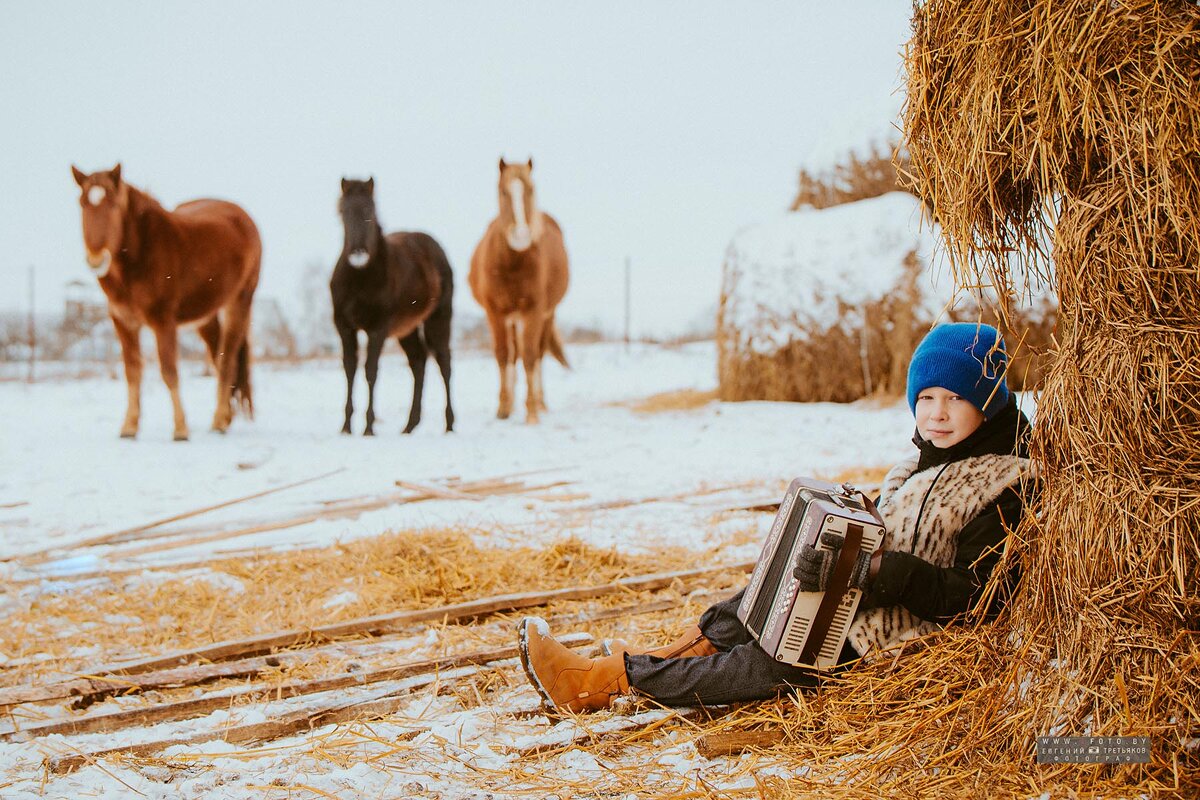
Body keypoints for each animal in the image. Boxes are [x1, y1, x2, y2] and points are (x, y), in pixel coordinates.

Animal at [71, 161, 261, 438]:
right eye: (83, 203)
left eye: (114, 205)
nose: (96, 259)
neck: (140, 255)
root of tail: (243, 217)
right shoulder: (123, 322)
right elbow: (132, 372)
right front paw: (129, 427)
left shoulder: (163, 322)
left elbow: (169, 371)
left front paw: (180, 429)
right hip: (206, 316)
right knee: (219, 357)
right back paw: (225, 418)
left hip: (240, 302)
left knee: (227, 360)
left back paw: (218, 421)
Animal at [328, 178, 453, 438]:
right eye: (343, 212)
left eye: (370, 211)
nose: (357, 252)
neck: (360, 278)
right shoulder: (344, 327)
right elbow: (349, 368)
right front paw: (346, 427)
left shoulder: (378, 329)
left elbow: (370, 371)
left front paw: (368, 428)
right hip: (407, 330)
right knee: (418, 363)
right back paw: (409, 426)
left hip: (438, 319)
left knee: (444, 363)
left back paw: (449, 425)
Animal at [465, 158, 568, 424]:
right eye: (503, 192)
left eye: (530, 190)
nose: (521, 235)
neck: (512, 264)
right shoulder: (495, 313)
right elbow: (503, 355)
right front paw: (503, 407)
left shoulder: (534, 311)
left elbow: (530, 356)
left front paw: (531, 411)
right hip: (511, 318)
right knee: (513, 355)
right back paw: (512, 403)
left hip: (546, 315)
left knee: (538, 354)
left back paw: (540, 402)